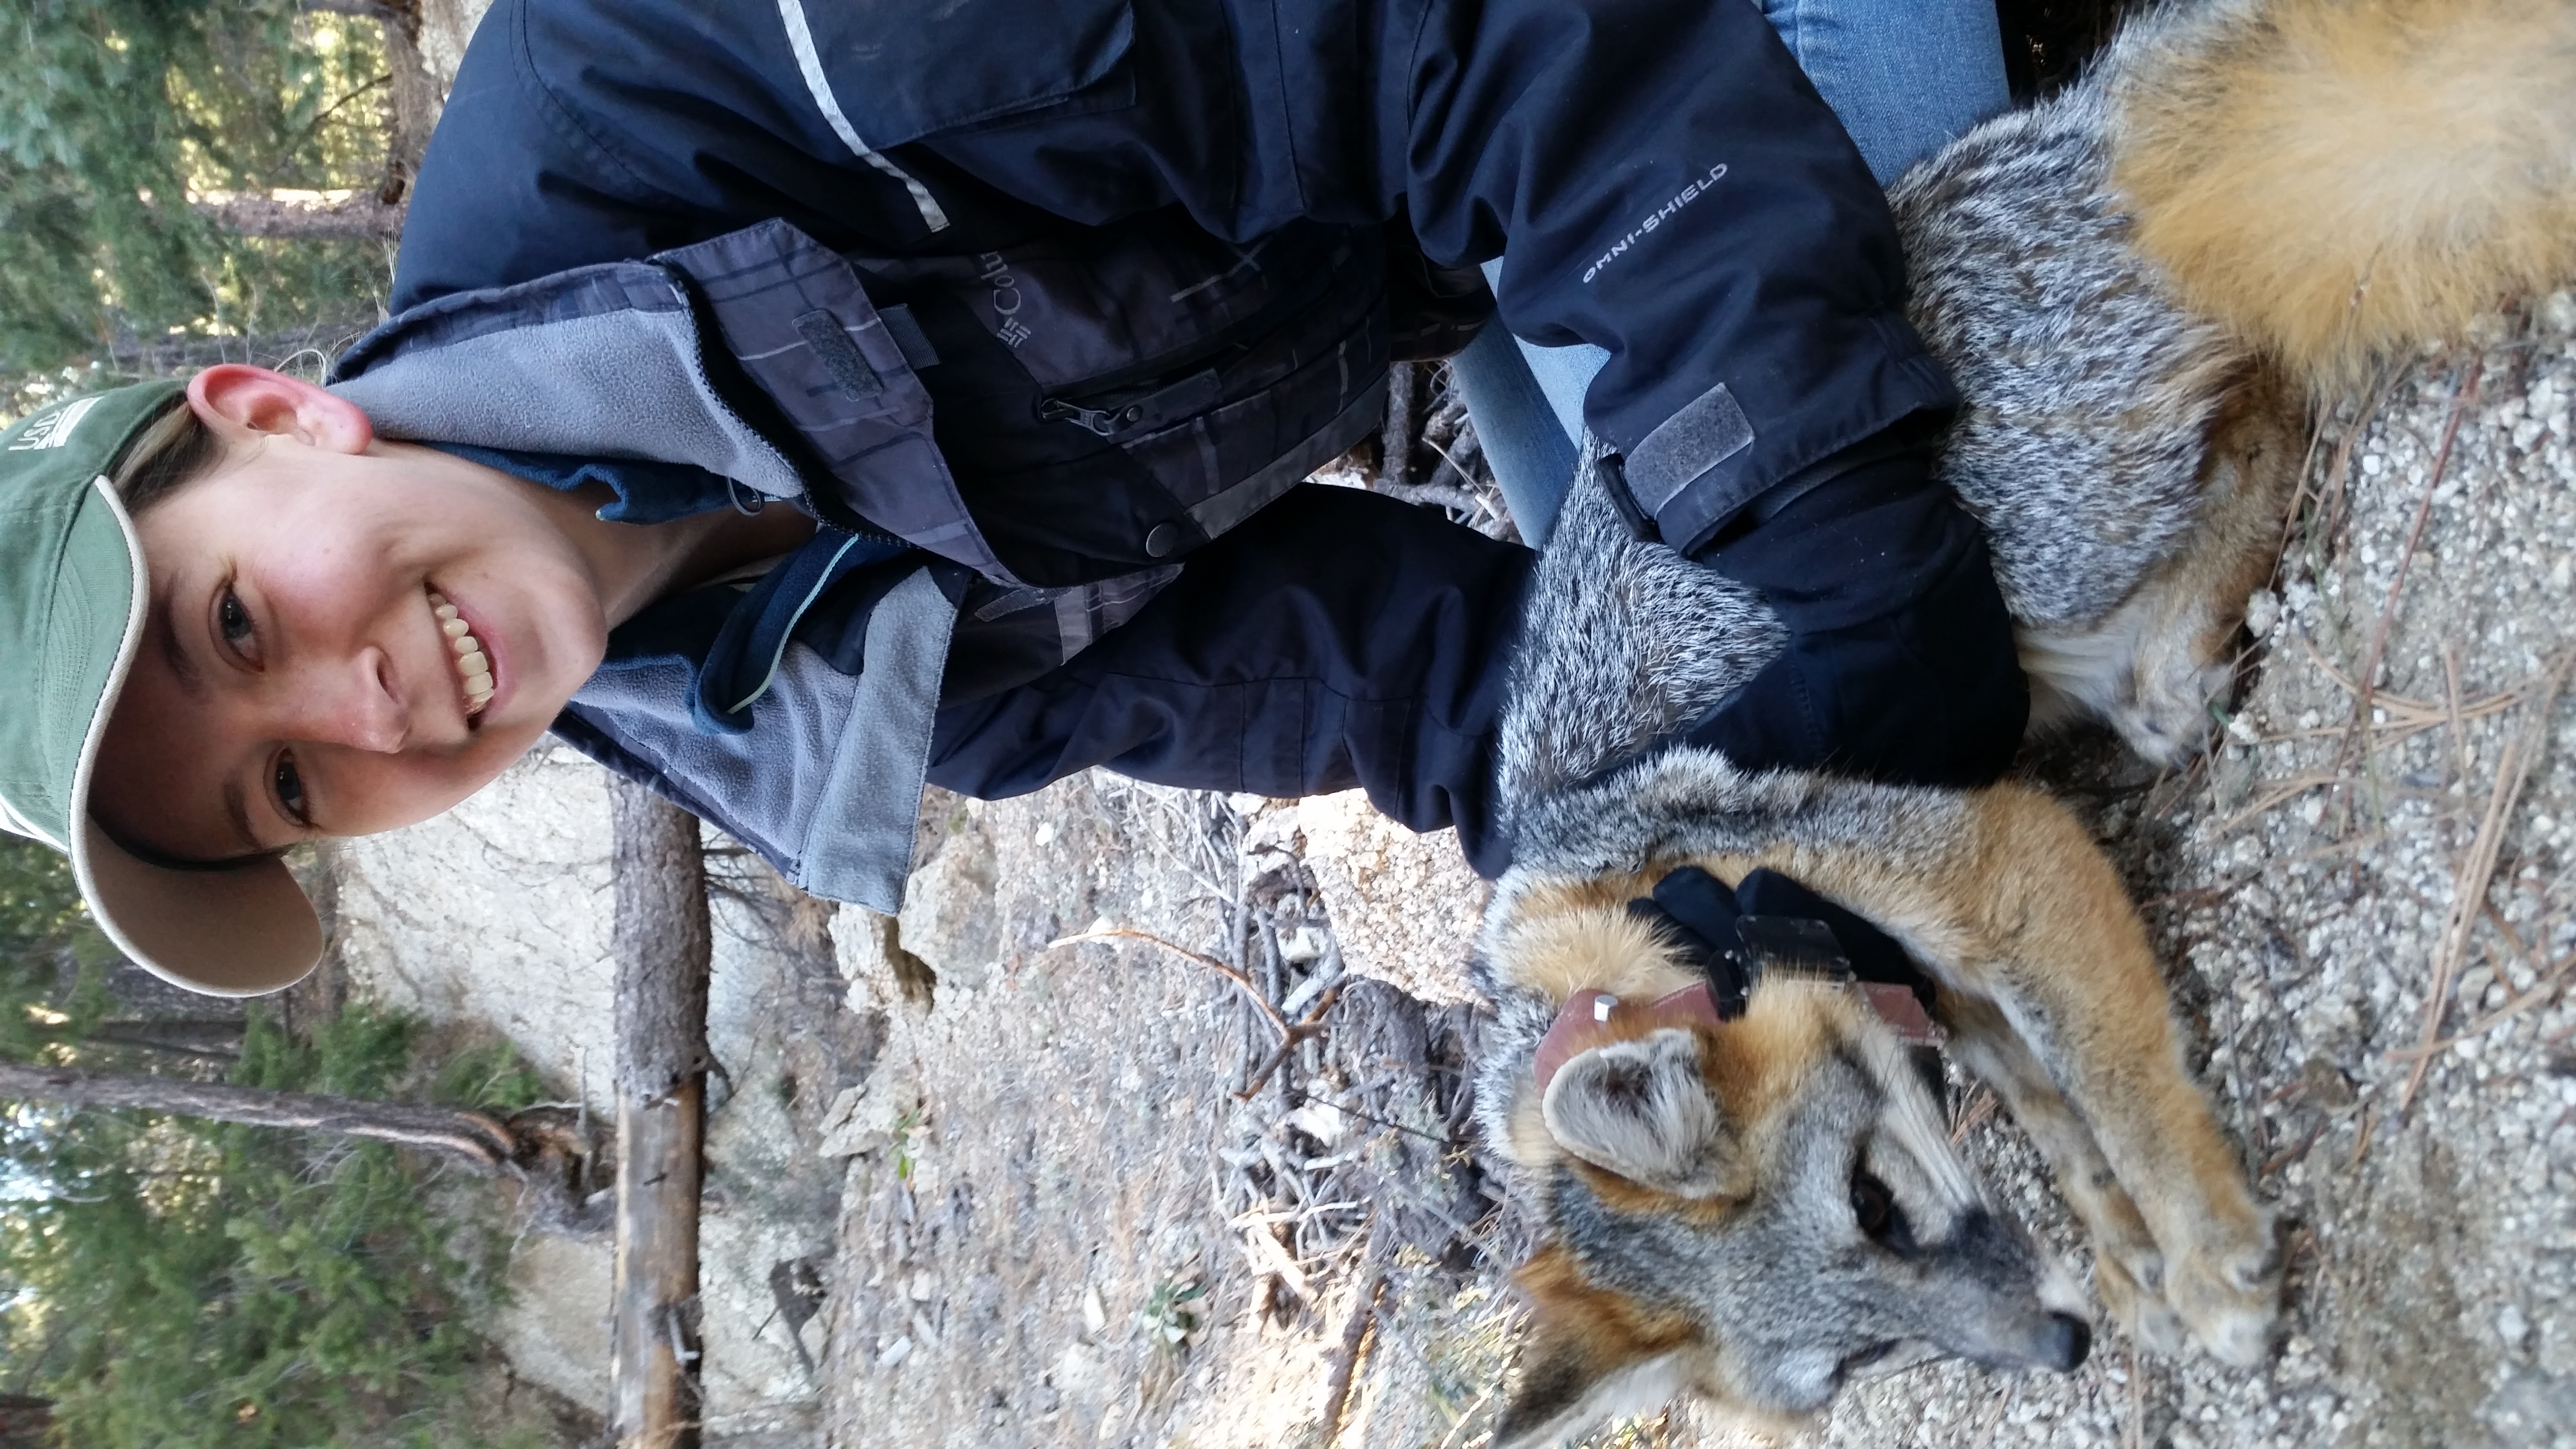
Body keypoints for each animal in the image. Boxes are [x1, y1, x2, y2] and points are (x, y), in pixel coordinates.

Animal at [1469, 0, 2576, 1443]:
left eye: (1871, 1202)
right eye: (1862, 1358)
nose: (2058, 1344)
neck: (1642, 915)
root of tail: (2067, 132)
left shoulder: (1979, 853)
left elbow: (2109, 1070)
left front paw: (2202, 1244)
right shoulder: (1922, 975)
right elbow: (2049, 1112)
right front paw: (2131, 1256)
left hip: (2050, 553)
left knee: (2272, 374)